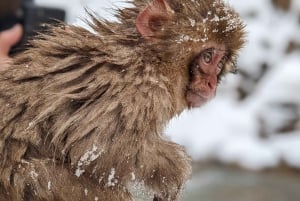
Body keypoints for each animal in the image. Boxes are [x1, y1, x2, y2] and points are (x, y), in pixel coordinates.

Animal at [0, 0, 244, 200]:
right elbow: (97, 147)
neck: (151, 60)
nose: (212, 84)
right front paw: (176, 171)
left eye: (220, 62)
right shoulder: (138, 90)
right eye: (207, 57)